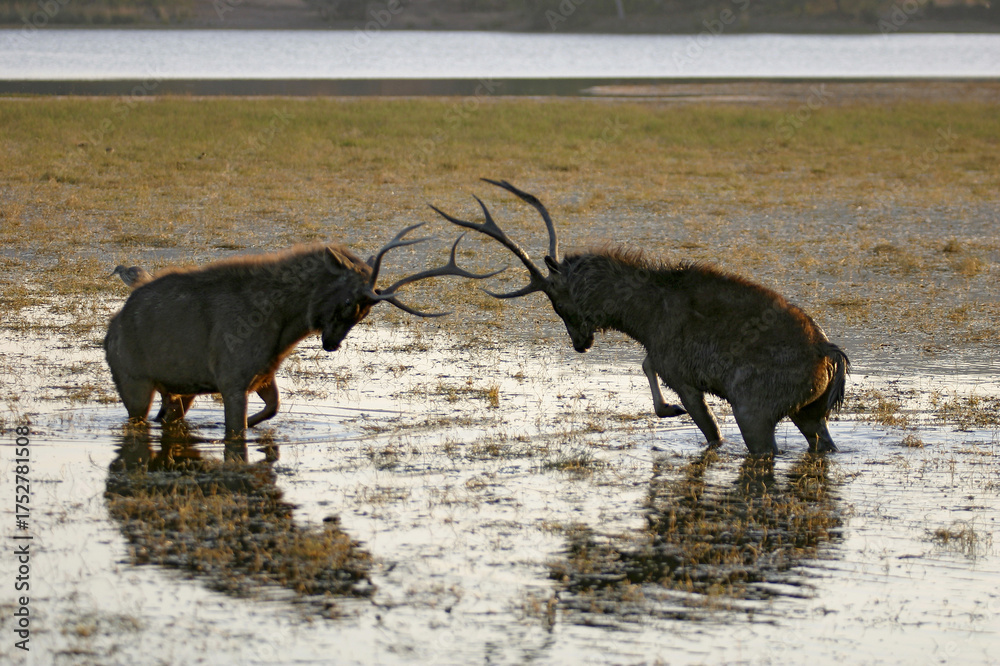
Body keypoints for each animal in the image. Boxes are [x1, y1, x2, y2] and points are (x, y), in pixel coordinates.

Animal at [104, 225, 499, 440]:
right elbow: (237, 431)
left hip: (176, 389)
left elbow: (272, 410)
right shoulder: (231, 378)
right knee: (137, 418)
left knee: (168, 415)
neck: (282, 328)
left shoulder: (263, 375)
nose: (332, 344)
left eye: (366, 311)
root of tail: (111, 330)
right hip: (133, 382)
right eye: (349, 301)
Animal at [431, 180, 850, 456]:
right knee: (824, 444)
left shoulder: (682, 375)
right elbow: (646, 364)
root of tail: (831, 357)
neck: (643, 318)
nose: (580, 344)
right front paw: (665, 409)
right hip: (809, 411)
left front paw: (669, 409)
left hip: (755, 409)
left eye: (558, 304)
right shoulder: (662, 360)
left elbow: (711, 433)